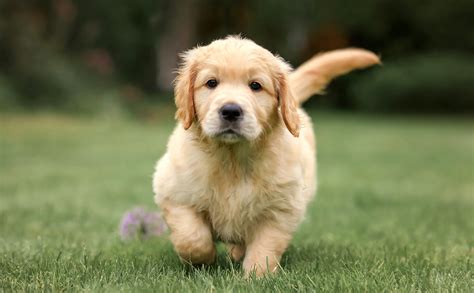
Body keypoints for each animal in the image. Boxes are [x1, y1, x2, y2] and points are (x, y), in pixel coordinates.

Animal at [154, 35, 380, 274]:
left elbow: (266, 245)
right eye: (211, 83)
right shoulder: (174, 191)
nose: (231, 111)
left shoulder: (281, 208)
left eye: (256, 86)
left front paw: (256, 274)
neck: (233, 157)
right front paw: (202, 260)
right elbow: (192, 237)